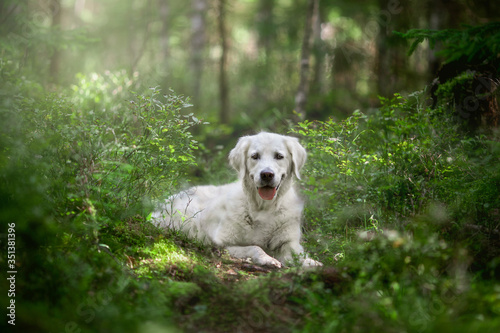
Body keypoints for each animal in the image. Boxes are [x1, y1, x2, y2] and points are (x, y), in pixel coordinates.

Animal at [152, 132, 322, 268]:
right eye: (255, 156)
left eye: (279, 156)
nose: (267, 174)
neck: (263, 208)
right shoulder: (222, 243)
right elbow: (255, 247)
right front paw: (267, 258)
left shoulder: (288, 242)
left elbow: (297, 254)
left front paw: (310, 262)